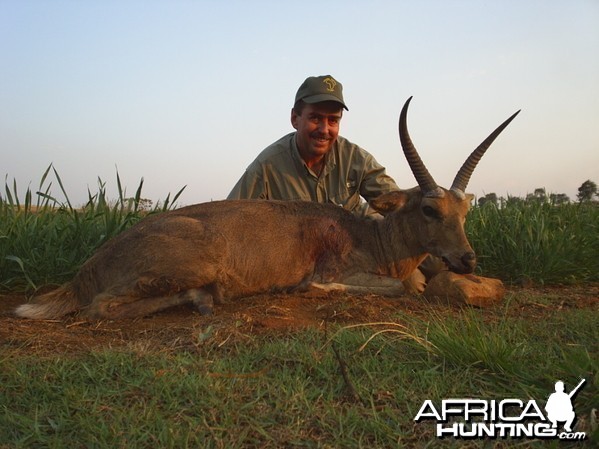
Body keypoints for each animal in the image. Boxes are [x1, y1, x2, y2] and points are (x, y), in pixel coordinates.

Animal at [15, 97, 520, 318]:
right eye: (430, 211)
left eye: (464, 212)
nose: (467, 258)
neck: (372, 238)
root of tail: (90, 267)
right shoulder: (336, 269)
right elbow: (403, 287)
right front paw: (312, 290)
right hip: (190, 265)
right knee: (100, 306)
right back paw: (201, 299)